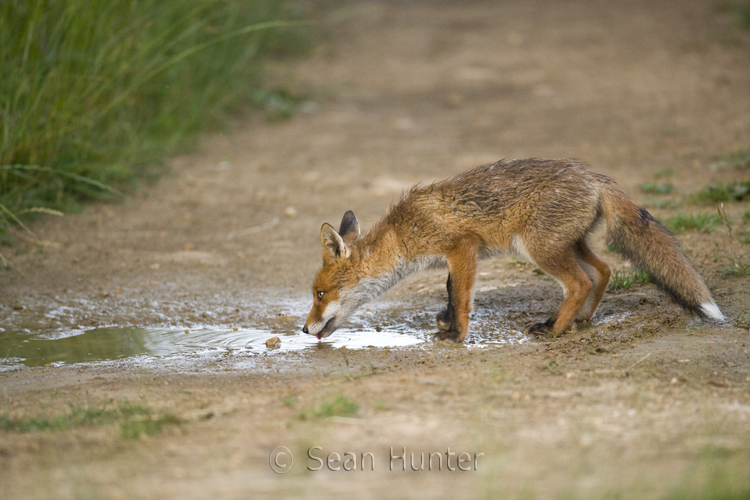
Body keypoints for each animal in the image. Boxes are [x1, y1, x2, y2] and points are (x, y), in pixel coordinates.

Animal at [302, 158, 724, 342]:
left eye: (320, 294)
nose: (303, 329)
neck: (402, 235)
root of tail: (594, 176)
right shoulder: (455, 257)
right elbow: (450, 292)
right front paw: (447, 321)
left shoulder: (462, 246)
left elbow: (462, 297)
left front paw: (456, 335)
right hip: (568, 243)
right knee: (603, 271)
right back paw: (578, 320)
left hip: (538, 248)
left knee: (580, 283)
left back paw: (555, 329)